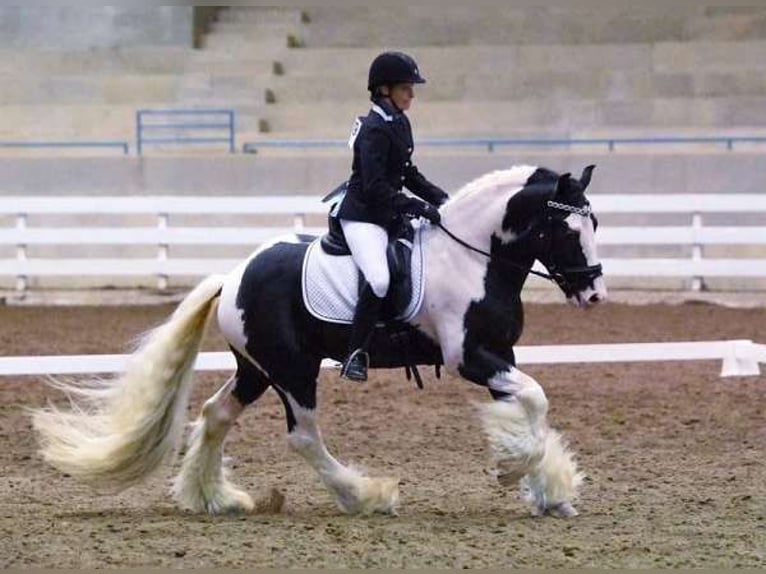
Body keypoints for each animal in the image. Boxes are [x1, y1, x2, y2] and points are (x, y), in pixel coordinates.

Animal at [30, 164, 608, 520]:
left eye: (595, 223)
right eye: (567, 230)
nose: (595, 293)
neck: (471, 258)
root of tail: (233, 276)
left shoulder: (497, 355)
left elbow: (529, 406)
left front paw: (549, 492)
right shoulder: (469, 357)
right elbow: (535, 399)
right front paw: (513, 471)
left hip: (257, 370)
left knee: (216, 415)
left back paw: (217, 499)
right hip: (292, 371)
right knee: (304, 437)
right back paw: (365, 496)